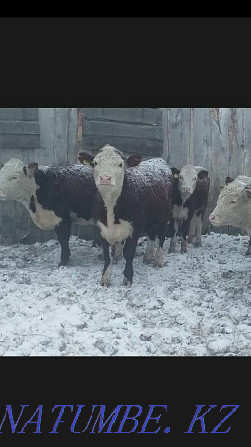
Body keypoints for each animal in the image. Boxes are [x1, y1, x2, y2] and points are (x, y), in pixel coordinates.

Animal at [85, 145, 174, 288]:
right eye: (95, 163)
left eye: (121, 164)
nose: (105, 178)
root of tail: (158, 160)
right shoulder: (102, 229)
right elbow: (106, 255)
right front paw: (105, 279)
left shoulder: (135, 227)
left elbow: (129, 252)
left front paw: (127, 279)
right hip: (151, 217)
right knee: (151, 234)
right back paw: (147, 257)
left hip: (164, 216)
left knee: (160, 236)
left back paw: (158, 260)